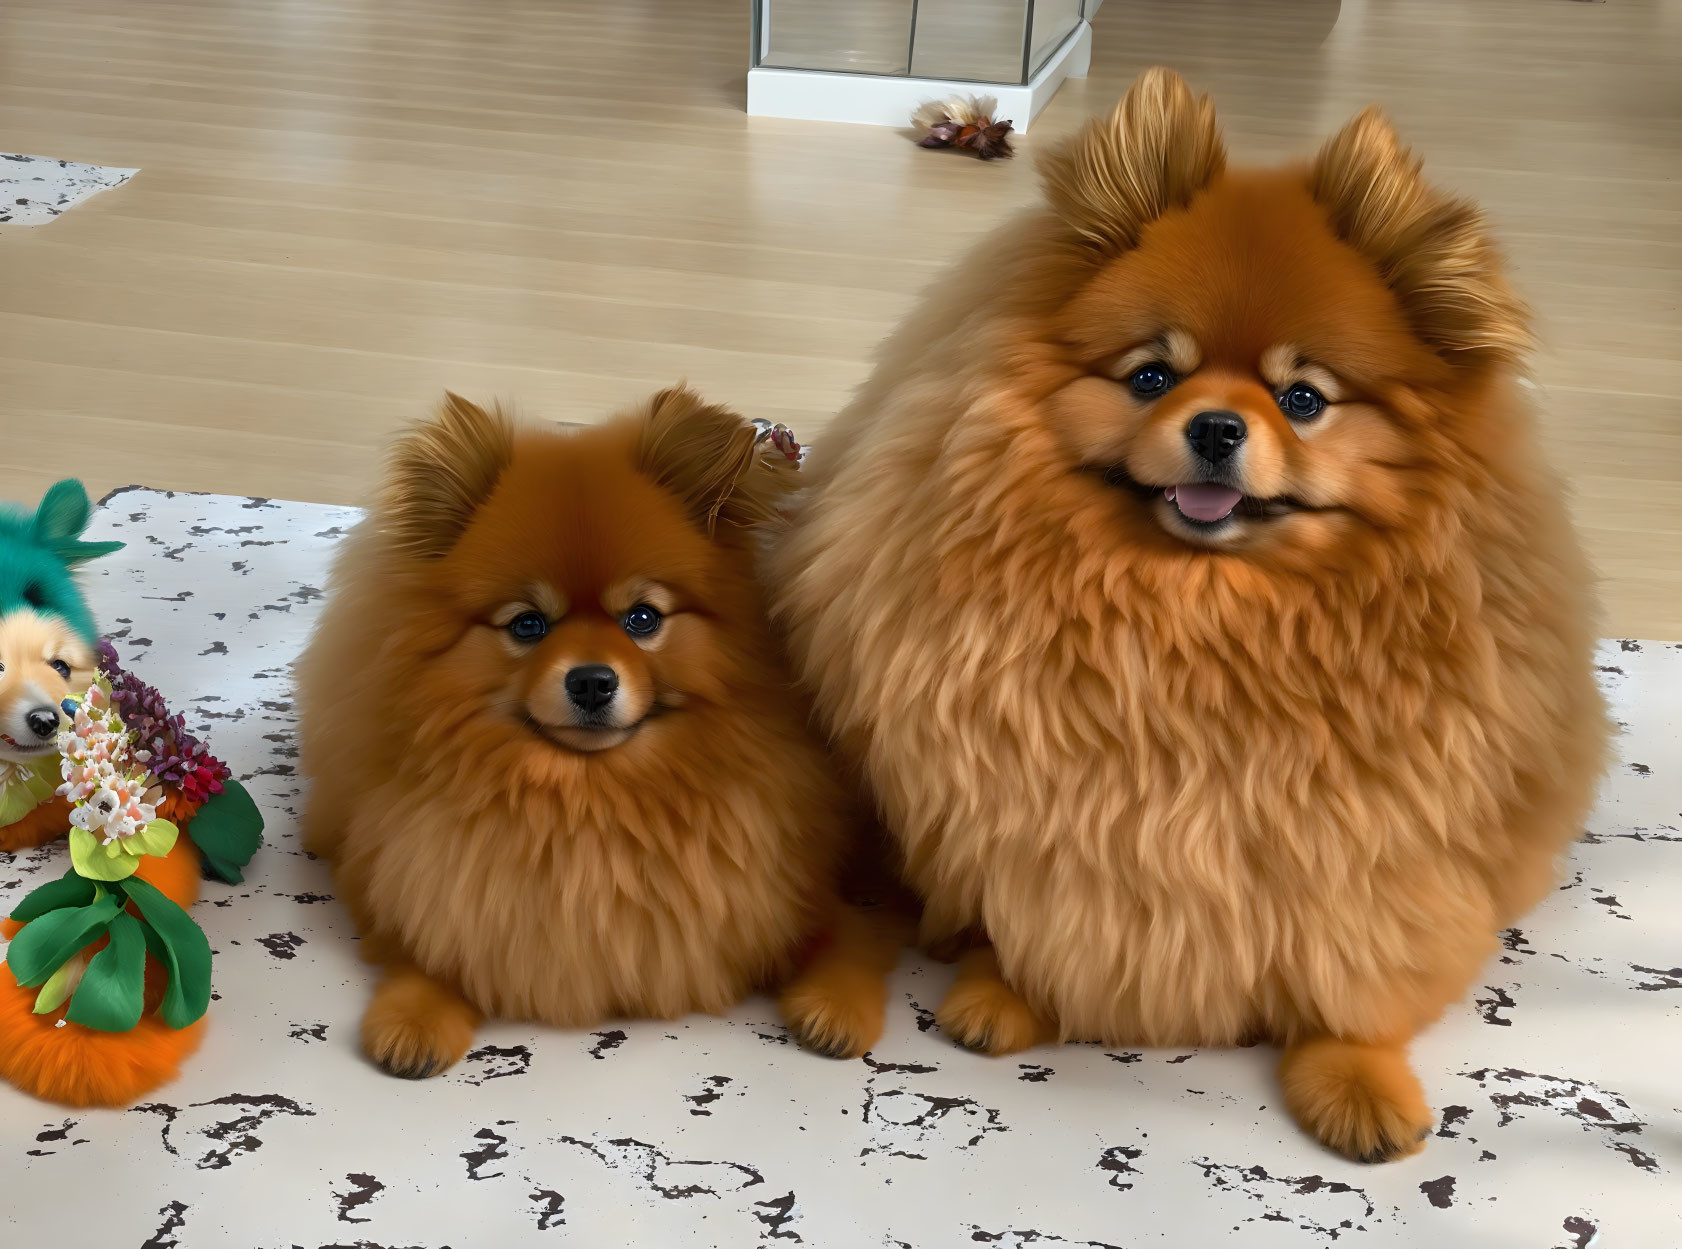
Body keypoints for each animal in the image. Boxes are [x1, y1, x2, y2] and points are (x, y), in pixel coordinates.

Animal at [299, 388, 894, 1075]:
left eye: (642, 618)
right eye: (527, 624)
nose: (590, 681)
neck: (592, 797)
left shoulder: (800, 889)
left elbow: (846, 936)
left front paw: (837, 1008)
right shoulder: (420, 877)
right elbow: (430, 942)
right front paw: (415, 1018)